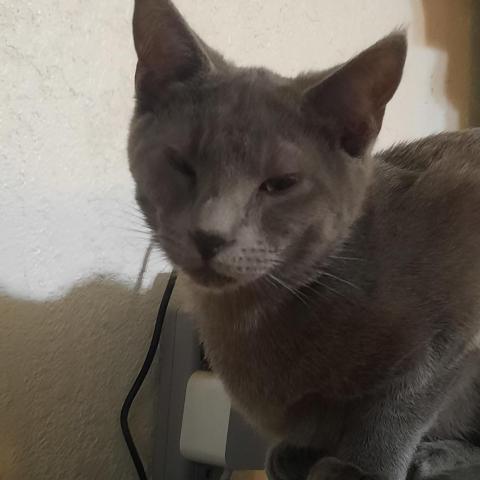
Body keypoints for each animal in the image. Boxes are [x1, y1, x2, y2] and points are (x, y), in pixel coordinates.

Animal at [128, 0, 480, 480]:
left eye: (280, 184)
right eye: (181, 163)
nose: (209, 234)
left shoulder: (456, 319)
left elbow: (403, 402)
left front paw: (363, 468)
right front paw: (302, 451)